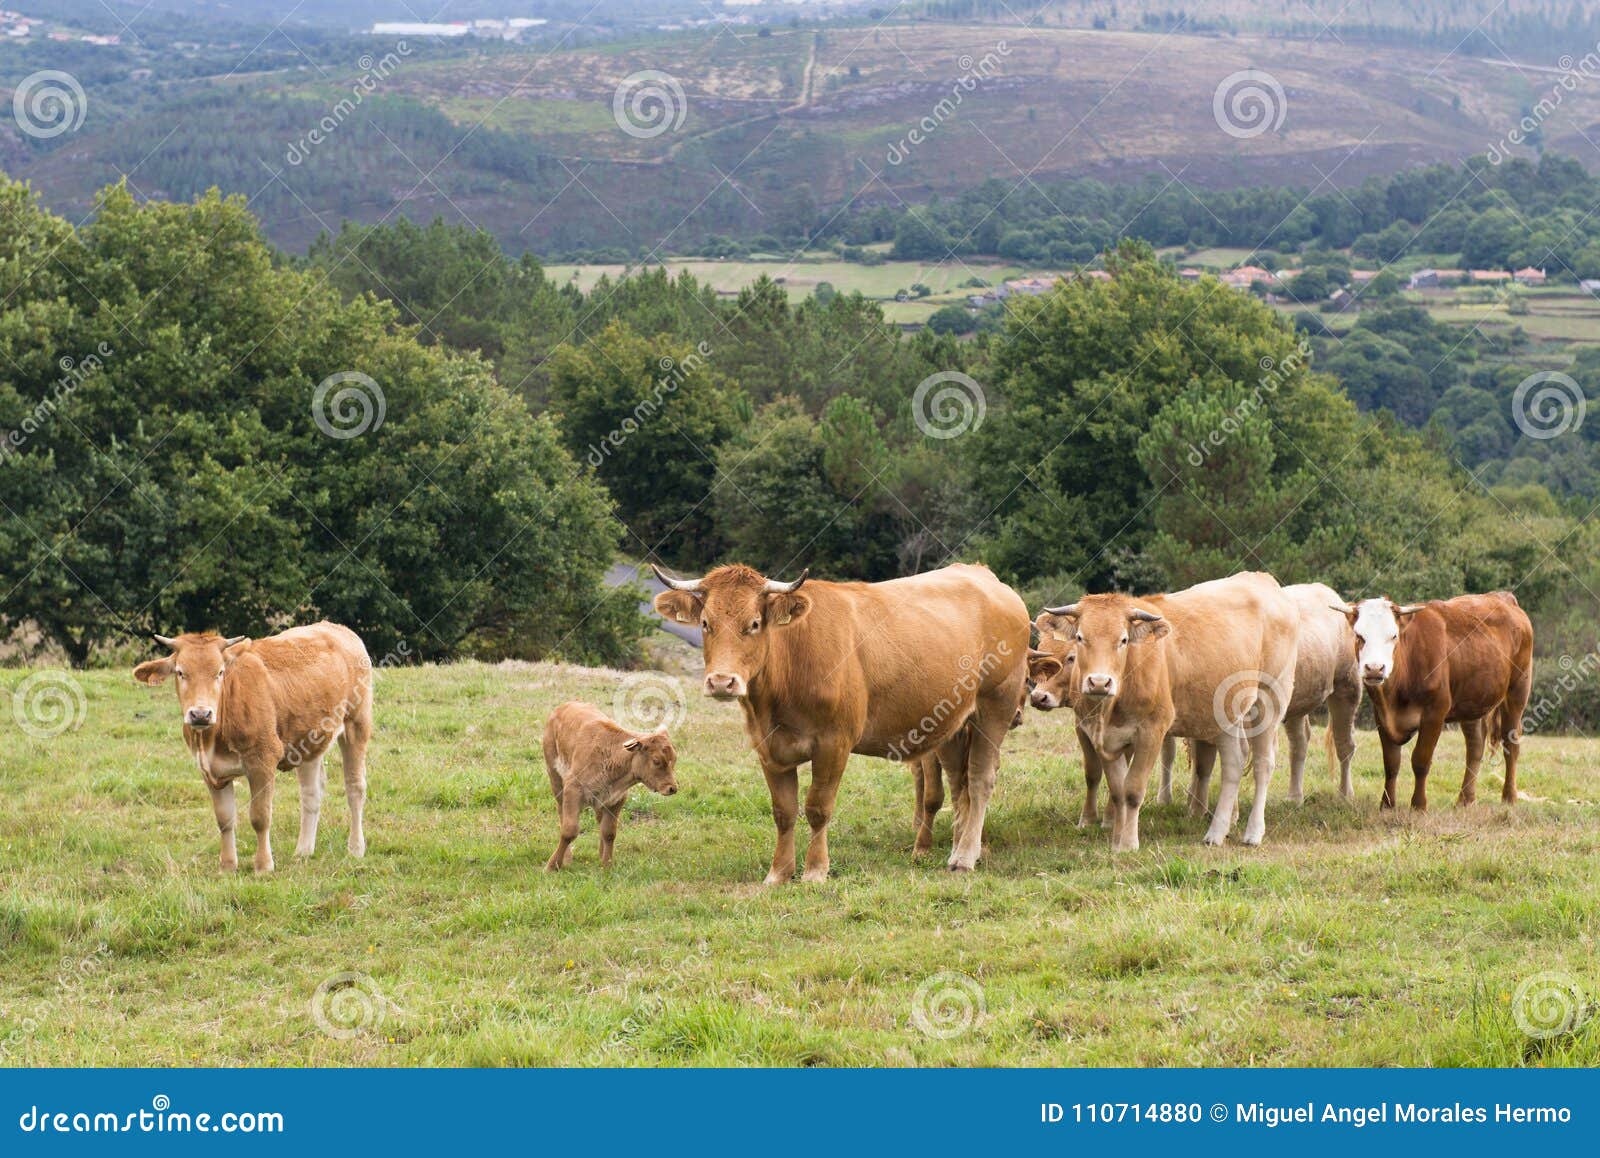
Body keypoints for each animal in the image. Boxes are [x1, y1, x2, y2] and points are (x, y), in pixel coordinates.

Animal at [132, 623, 372, 870]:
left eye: (220, 672)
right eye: (180, 672)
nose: (200, 714)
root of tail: (335, 628)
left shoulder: (262, 760)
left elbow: (260, 817)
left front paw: (264, 865)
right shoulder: (210, 770)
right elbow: (225, 820)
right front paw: (227, 866)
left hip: (357, 724)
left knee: (355, 788)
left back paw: (355, 848)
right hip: (310, 737)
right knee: (311, 793)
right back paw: (303, 851)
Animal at [544, 706, 681, 870]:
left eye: (674, 759)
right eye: (656, 761)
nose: (672, 788)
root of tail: (564, 707)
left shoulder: (617, 799)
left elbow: (609, 833)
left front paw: (606, 865)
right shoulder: (572, 790)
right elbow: (569, 831)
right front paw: (552, 866)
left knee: (600, 820)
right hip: (555, 779)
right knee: (561, 812)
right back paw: (568, 857)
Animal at [649, 559, 1024, 876]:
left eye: (753, 624)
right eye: (705, 624)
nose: (722, 682)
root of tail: (984, 575)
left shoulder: (834, 743)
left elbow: (817, 808)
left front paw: (815, 871)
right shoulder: (768, 748)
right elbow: (784, 812)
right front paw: (779, 874)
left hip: (996, 705)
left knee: (980, 779)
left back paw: (964, 857)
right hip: (954, 723)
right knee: (959, 784)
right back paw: (961, 848)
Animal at [1024, 572, 1299, 850]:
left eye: (1123, 640)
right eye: (1080, 637)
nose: (1099, 682)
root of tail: (1261, 579)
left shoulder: (1151, 732)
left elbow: (1133, 790)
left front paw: (1129, 844)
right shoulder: (1102, 737)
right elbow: (1117, 790)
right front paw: (1116, 839)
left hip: (1269, 702)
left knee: (1263, 764)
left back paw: (1253, 832)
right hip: (1226, 717)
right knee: (1234, 762)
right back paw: (1216, 832)